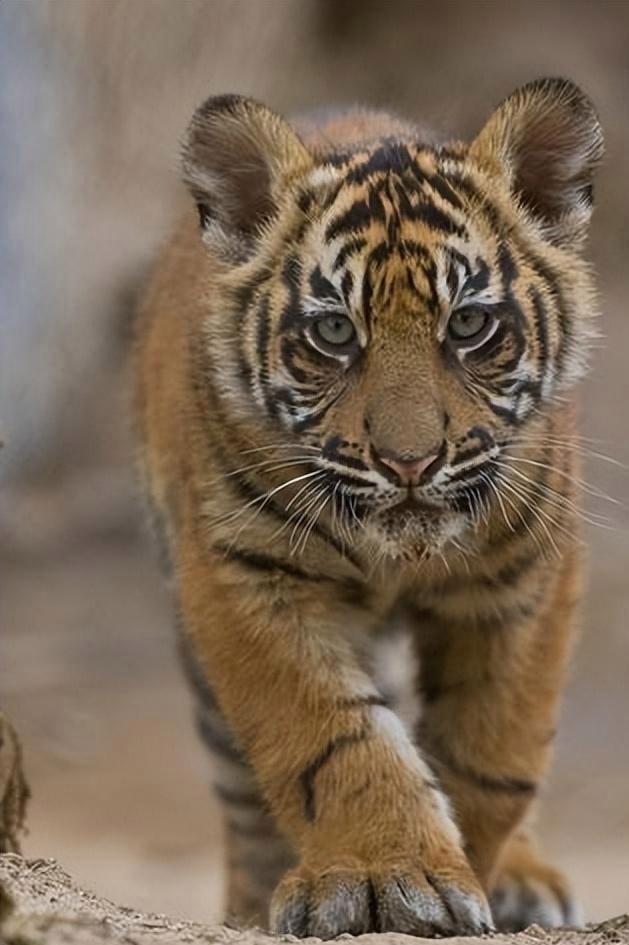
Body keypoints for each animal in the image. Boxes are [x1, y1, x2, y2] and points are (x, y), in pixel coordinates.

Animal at [135, 77, 603, 936]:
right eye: (332, 332)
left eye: (469, 323)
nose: (409, 462)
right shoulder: (243, 571)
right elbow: (330, 735)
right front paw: (383, 872)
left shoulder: (527, 571)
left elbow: (496, 746)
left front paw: (471, 864)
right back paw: (253, 898)